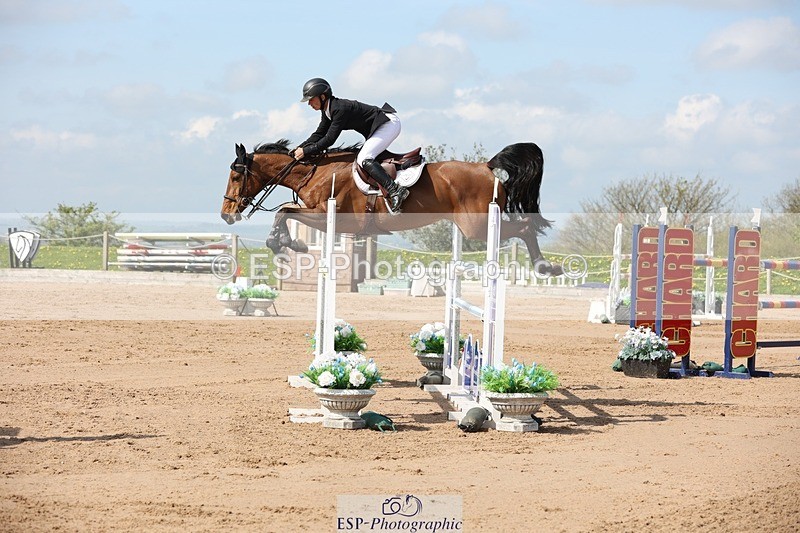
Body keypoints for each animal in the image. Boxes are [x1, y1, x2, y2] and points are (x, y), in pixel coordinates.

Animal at [220, 139, 562, 275]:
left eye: (236, 176)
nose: (226, 215)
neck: (317, 172)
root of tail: (488, 167)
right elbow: (286, 211)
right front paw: (290, 244)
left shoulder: (333, 217)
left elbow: (284, 211)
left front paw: (284, 245)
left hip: (476, 226)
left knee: (525, 226)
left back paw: (545, 266)